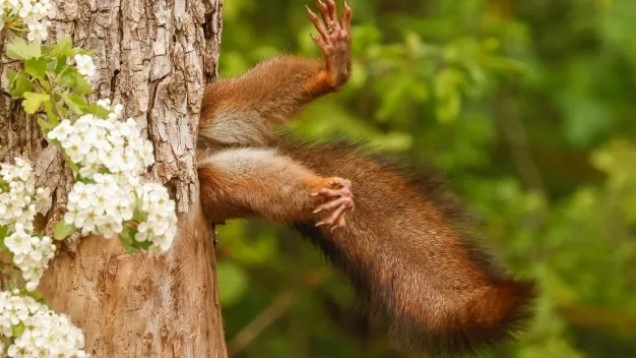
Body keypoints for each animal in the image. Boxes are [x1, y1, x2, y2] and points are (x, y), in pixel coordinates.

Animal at [196, 1, 536, 356]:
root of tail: (209, 149)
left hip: (215, 107)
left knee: (255, 94)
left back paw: (333, 71)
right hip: (218, 183)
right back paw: (324, 192)